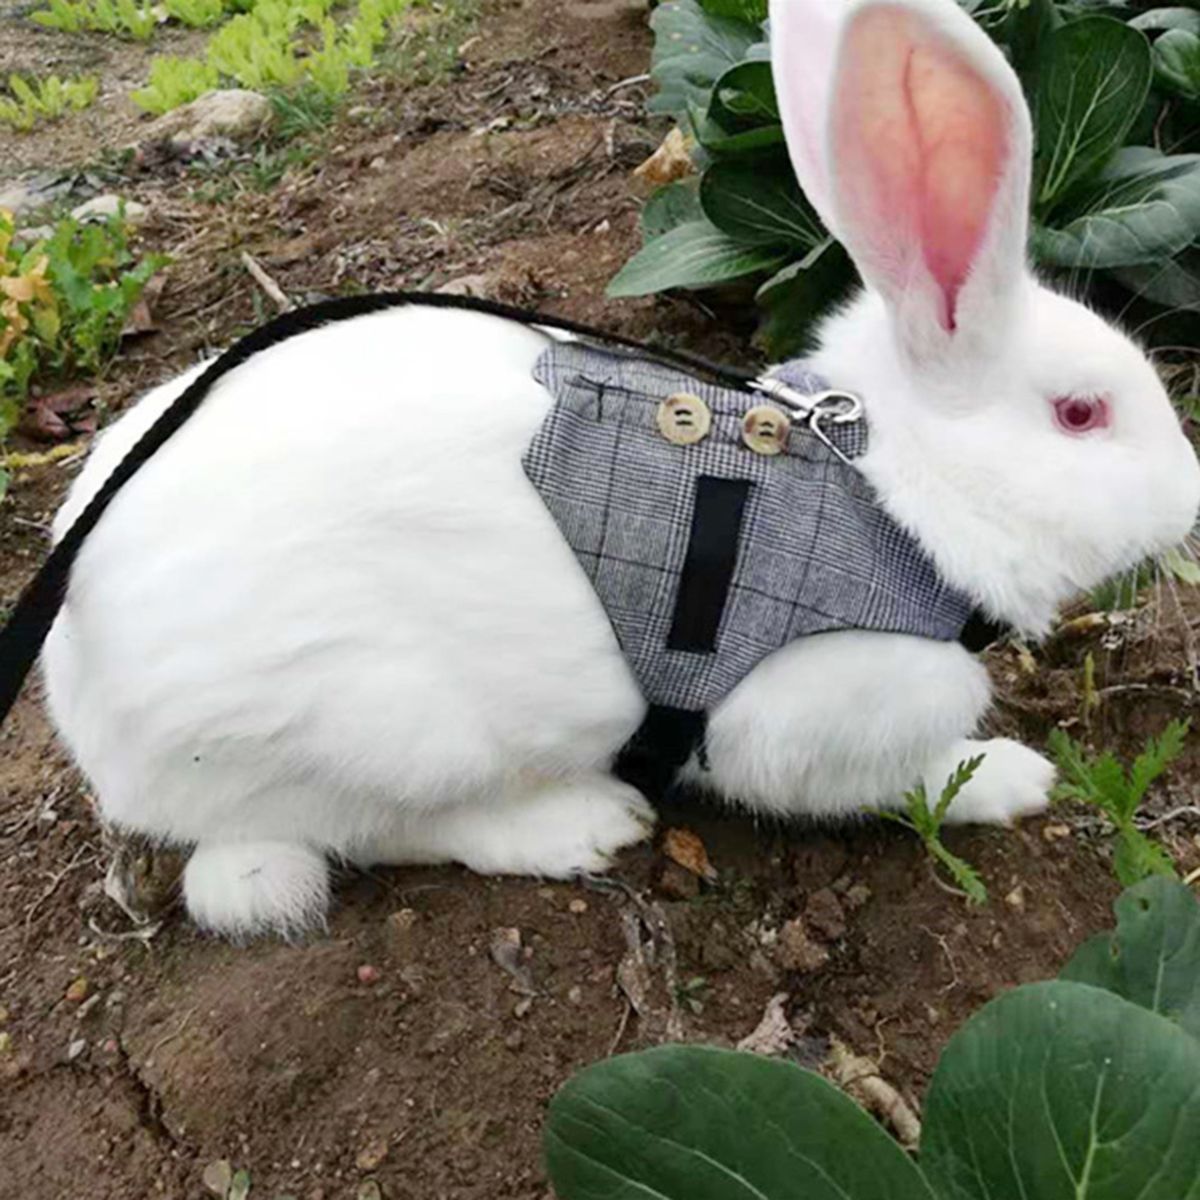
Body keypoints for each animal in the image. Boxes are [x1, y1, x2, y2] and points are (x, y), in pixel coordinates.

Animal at [40, 0, 1200, 937]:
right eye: (1082, 414)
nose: (1192, 492)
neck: (890, 493)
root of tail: (83, 704)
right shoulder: (808, 716)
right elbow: (898, 781)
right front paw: (1016, 779)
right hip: (378, 735)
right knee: (378, 832)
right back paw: (581, 826)